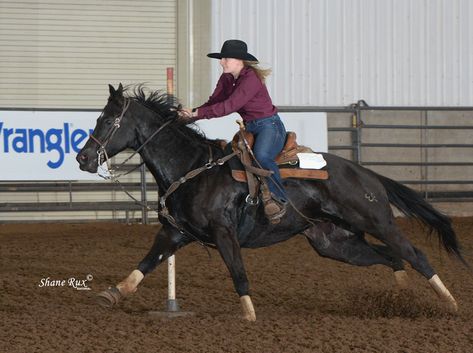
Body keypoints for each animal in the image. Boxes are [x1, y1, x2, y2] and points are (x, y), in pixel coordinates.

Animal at [77, 84, 464, 320]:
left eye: (108, 120)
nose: (83, 158)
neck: (192, 167)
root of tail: (367, 174)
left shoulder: (224, 233)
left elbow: (238, 273)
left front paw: (249, 315)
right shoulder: (175, 234)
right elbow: (144, 264)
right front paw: (111, 294)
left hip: (376, 221)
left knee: (415, 255)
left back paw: (450, 304)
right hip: (335, 243)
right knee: (391, 257)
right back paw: (402, 297)